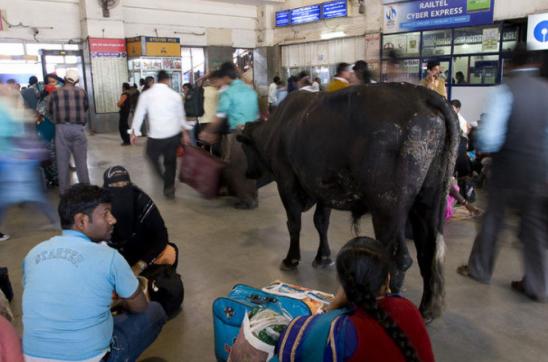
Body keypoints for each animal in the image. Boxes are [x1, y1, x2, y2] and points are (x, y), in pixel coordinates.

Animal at [239, 83, 458, 318]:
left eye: (245, 148)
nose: (248, 173)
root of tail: (424, 94)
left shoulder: (286, 181)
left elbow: (294, 224)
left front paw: (291, 259)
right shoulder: (323, 189)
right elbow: (321, 222)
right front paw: (323, 257)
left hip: (388, 208)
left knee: (400, 258)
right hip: (429, 202)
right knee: (428, 252)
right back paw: (426, 310)